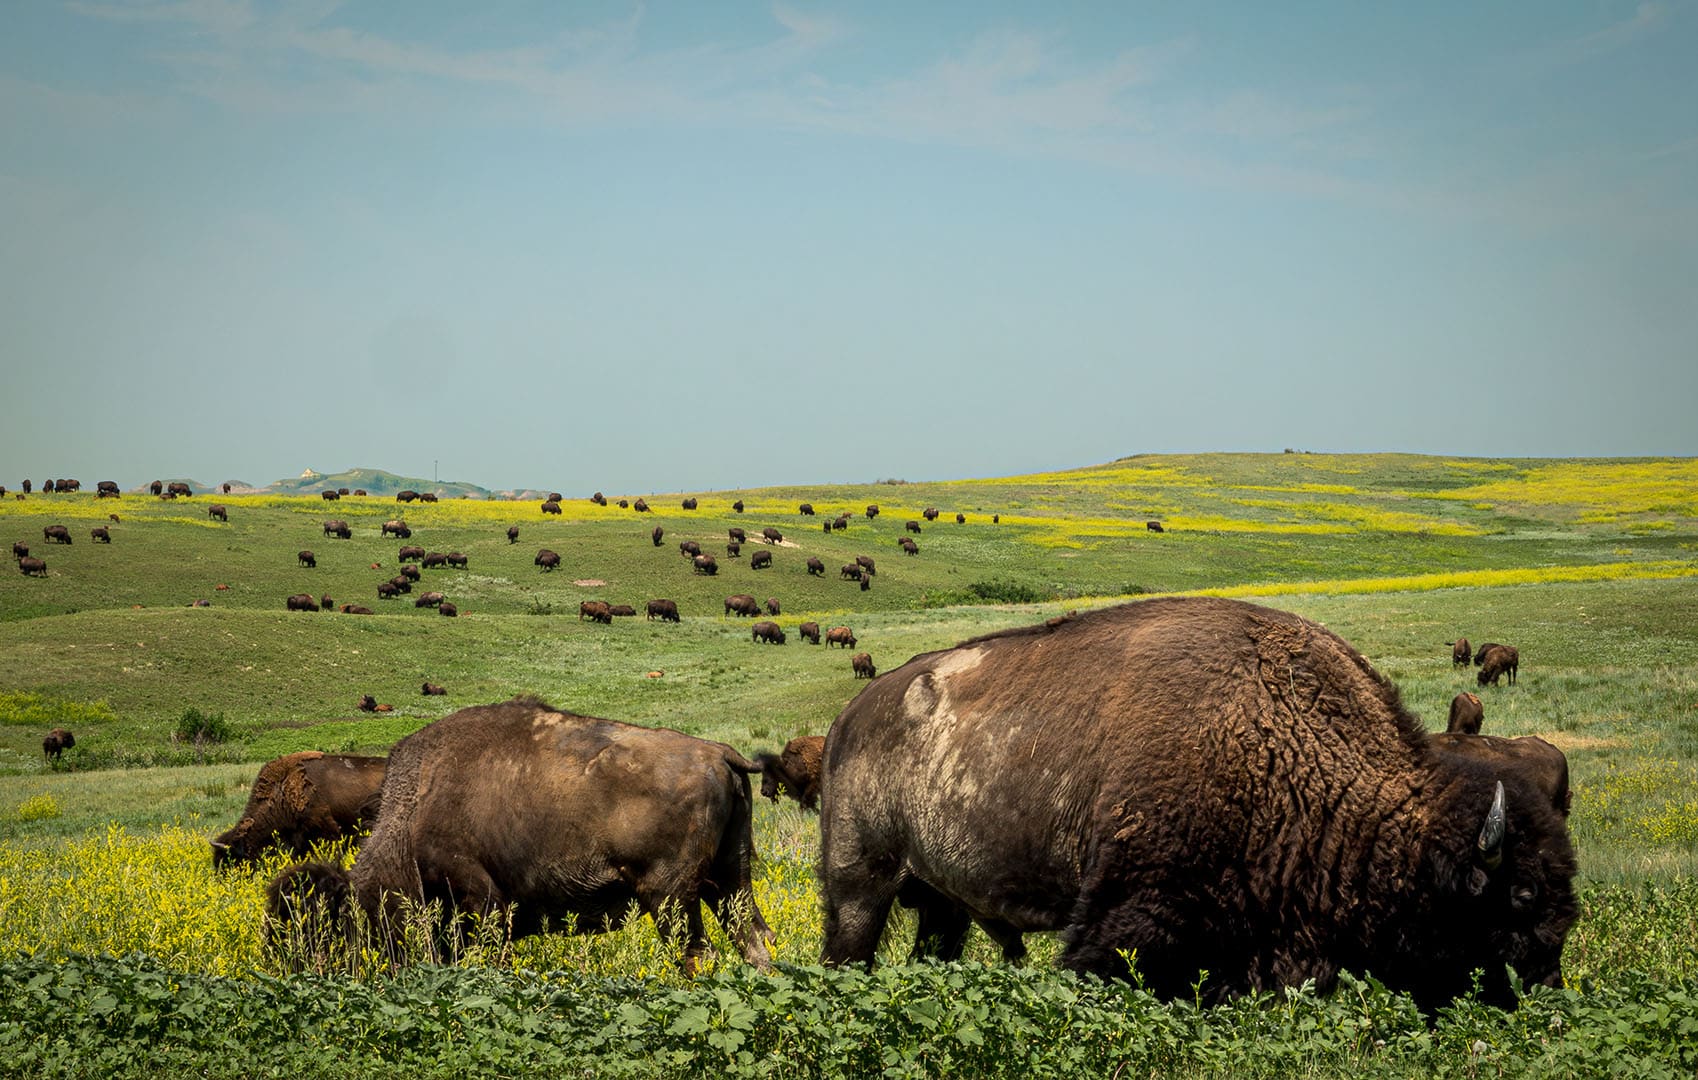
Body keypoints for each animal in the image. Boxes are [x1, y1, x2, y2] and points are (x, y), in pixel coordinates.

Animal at [261, 696, 774, 971]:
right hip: (728, 882)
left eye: (319, 928)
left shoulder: (480, 896)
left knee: (697, 953)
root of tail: (719, 753)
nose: (294, 969)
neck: (415, 810)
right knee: (752, 940)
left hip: (669, 895)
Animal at [821, 597, 1575, 1012]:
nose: (1546, 996)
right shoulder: (1124, 916)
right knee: (846, 953)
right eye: (1520, 898)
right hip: (859, 882)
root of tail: (848, 718)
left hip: (941, 901)